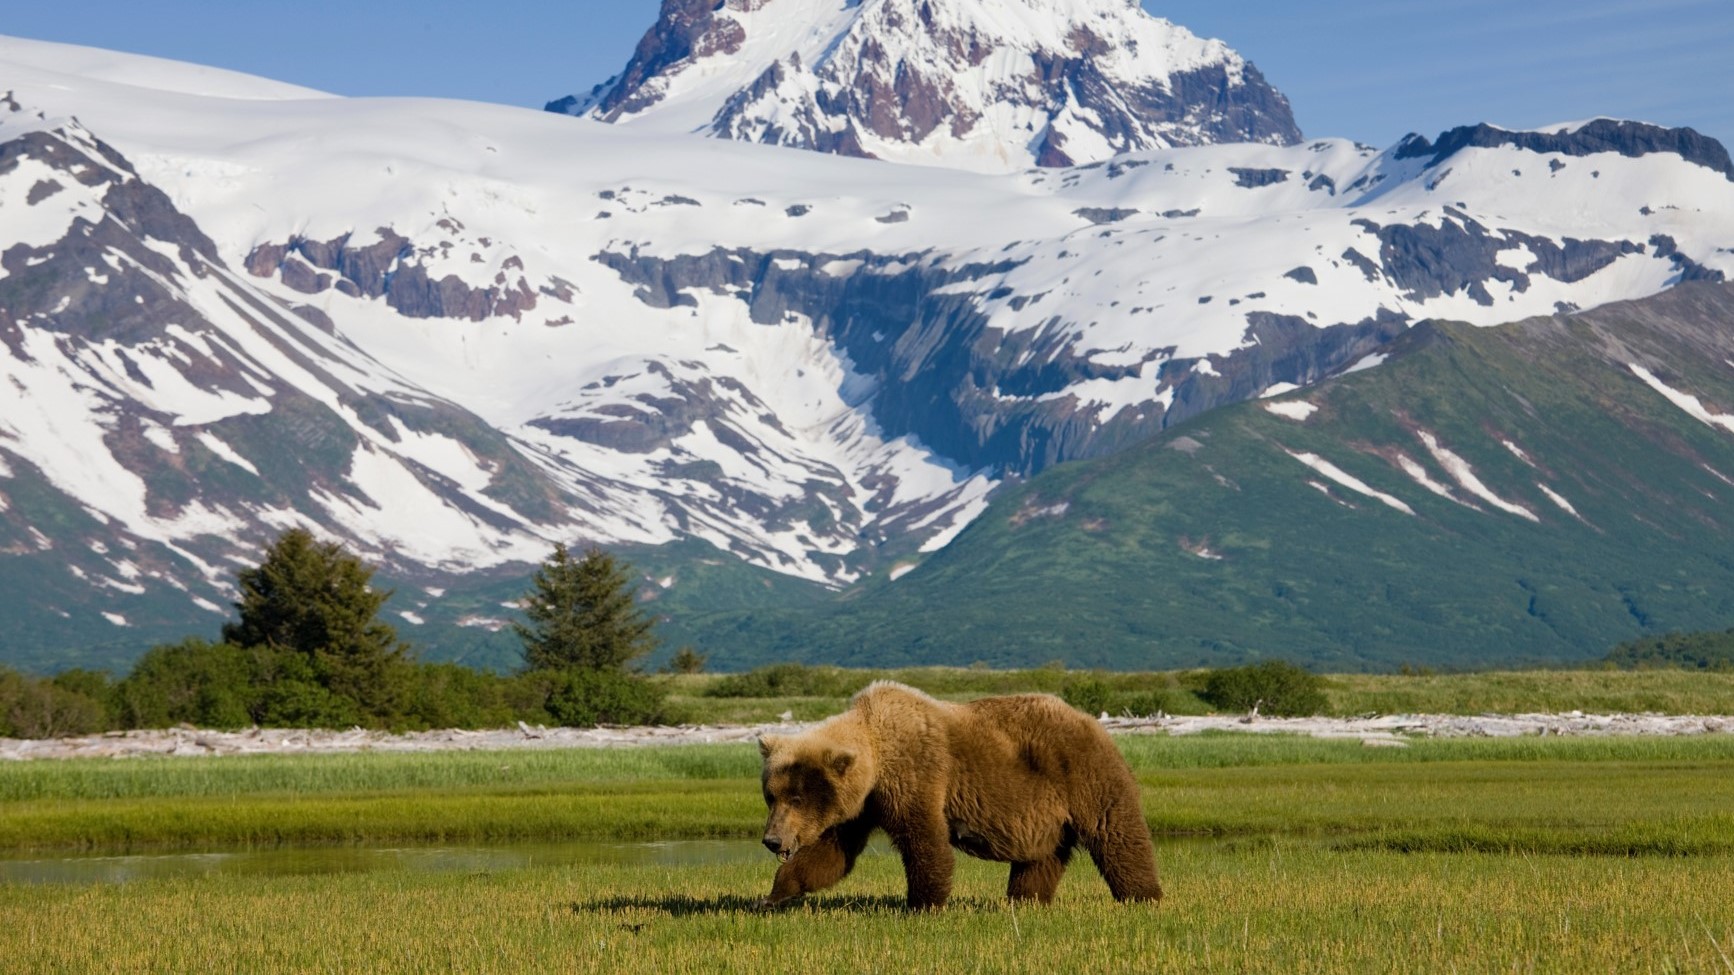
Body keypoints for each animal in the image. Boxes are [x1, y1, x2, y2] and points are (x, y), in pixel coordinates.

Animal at [759, 680, 1165, 909]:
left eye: (797, 798)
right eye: (771, 795)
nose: (772, 839)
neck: (878, 749)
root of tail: (1092, 720)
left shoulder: (917, 774)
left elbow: (924, 841)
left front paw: (923, 904)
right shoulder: (862, 806)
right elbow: (831, 854)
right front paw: (774, 895)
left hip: (1081, 772)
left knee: (1115, 832)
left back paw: (1143, 896)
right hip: (1045, 810)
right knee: (1042, 856)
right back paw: (1026, 900)